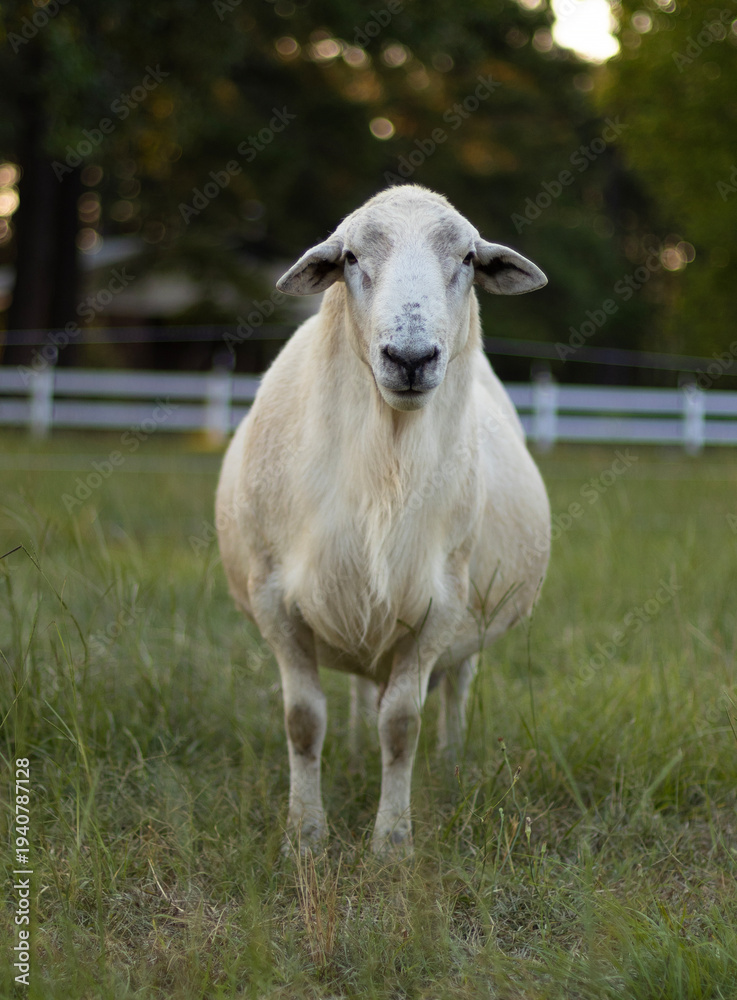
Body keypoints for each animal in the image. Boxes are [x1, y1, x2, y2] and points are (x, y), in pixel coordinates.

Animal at [216, 185, 550, 855]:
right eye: (349, 257)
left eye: (469, 259)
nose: (411, 357)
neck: (385, 459)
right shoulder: (273, 598)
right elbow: (303, 721)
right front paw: (304, 836)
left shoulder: (441, 605)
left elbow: (401, 723)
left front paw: (392, 843)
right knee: (358, 685)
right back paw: (349, 757)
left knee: (455, 687)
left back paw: (449, 765)